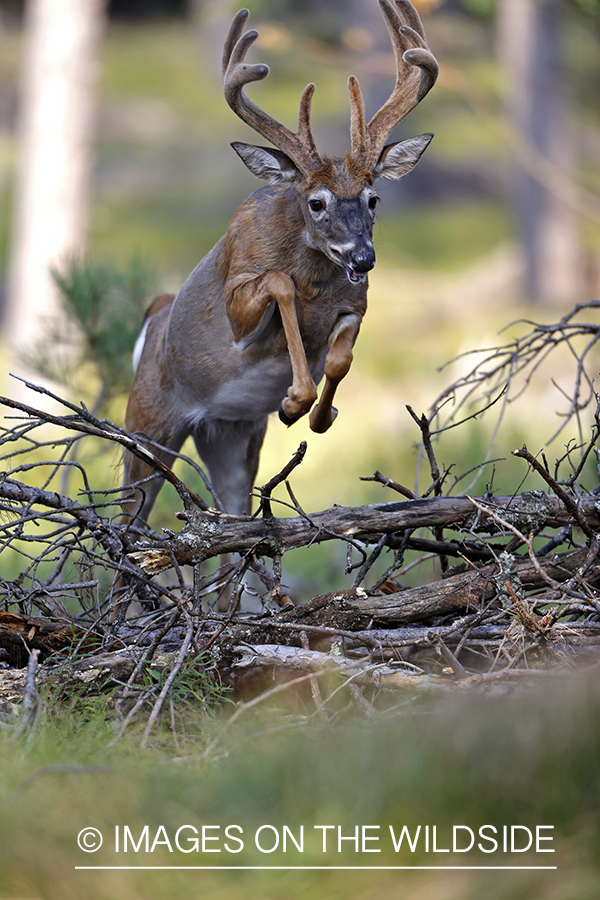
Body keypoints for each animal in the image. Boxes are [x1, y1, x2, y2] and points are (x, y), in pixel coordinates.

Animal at [123, 0, 440, 536]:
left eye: (373, 198)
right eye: (316, 202)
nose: (363, 257)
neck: (317, 278)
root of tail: (152, 319)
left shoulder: (358, 303)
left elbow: (340, 358)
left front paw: (318, 413)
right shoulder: (239, 295)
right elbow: (278, 283)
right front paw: (294, 400)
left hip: (232, 436)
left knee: (231, 530)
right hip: (145, 423)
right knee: (123, 517)